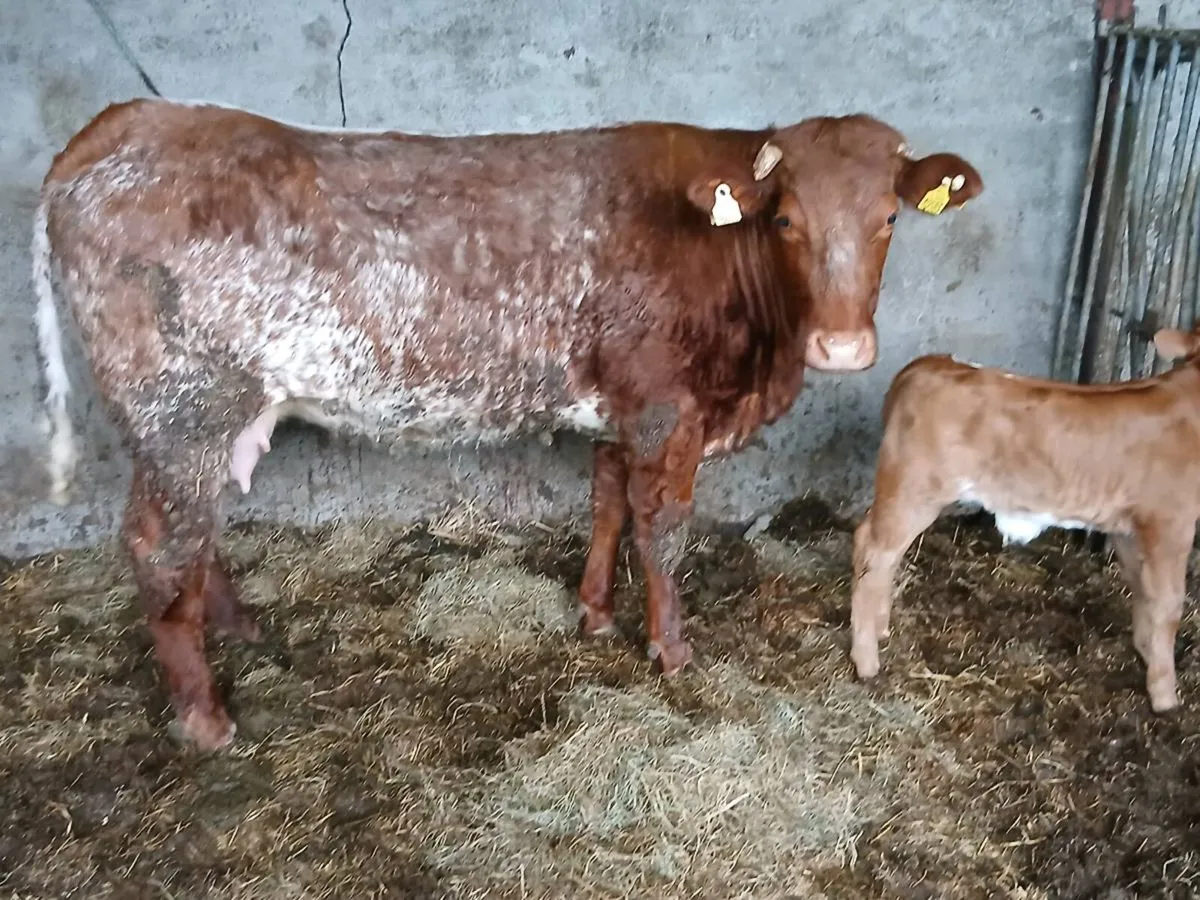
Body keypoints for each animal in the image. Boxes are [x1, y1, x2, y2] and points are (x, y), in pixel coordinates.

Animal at [34, 98, 981, 748]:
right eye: (785, 218)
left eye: (888, 218)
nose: (842, 346)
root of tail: (125, 122)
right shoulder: (665, 408)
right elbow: (663, 527)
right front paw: (671, 650)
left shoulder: (620, 407)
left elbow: (606, 501)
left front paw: (594, 615)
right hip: (180, 405)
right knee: (159, 541)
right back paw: (204, 717)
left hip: (209, 417)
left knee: (195, 532)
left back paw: (236, 626)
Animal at [850, 325, 1200, 713]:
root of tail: (926, 365)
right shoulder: (1171, 521)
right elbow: (1169, 603)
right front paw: (1165, 695)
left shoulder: (1127, 527)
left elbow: (1140, 586)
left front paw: (1145, 649)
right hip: (913, 490)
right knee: (874, 553)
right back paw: (866, 661)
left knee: (880, 551)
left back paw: (879, 628)